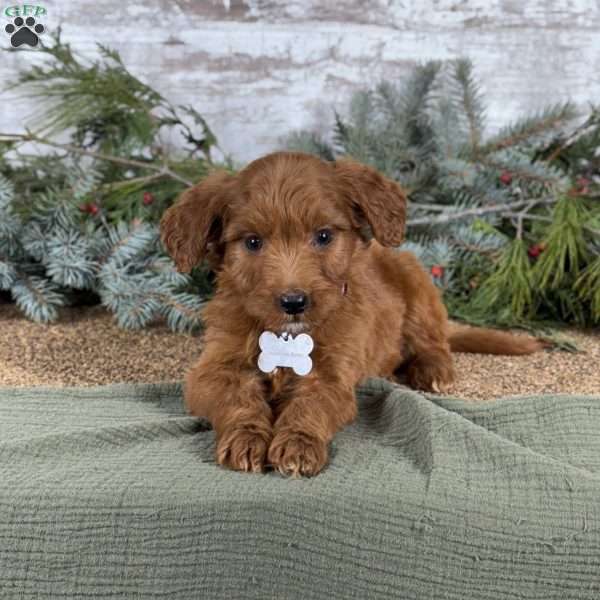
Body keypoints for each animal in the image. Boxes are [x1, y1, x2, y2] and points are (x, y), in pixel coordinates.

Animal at [161, 154, 544, 478]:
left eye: (323, 236)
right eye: (252, 242)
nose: (293, 302)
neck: (287, 337)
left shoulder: (332, 376)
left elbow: (309, 406)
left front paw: (298, 444)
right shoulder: (213, 369)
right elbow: (237, 399)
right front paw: (247, 437)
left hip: (416, 281)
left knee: (433, 340)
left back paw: (433, 369)